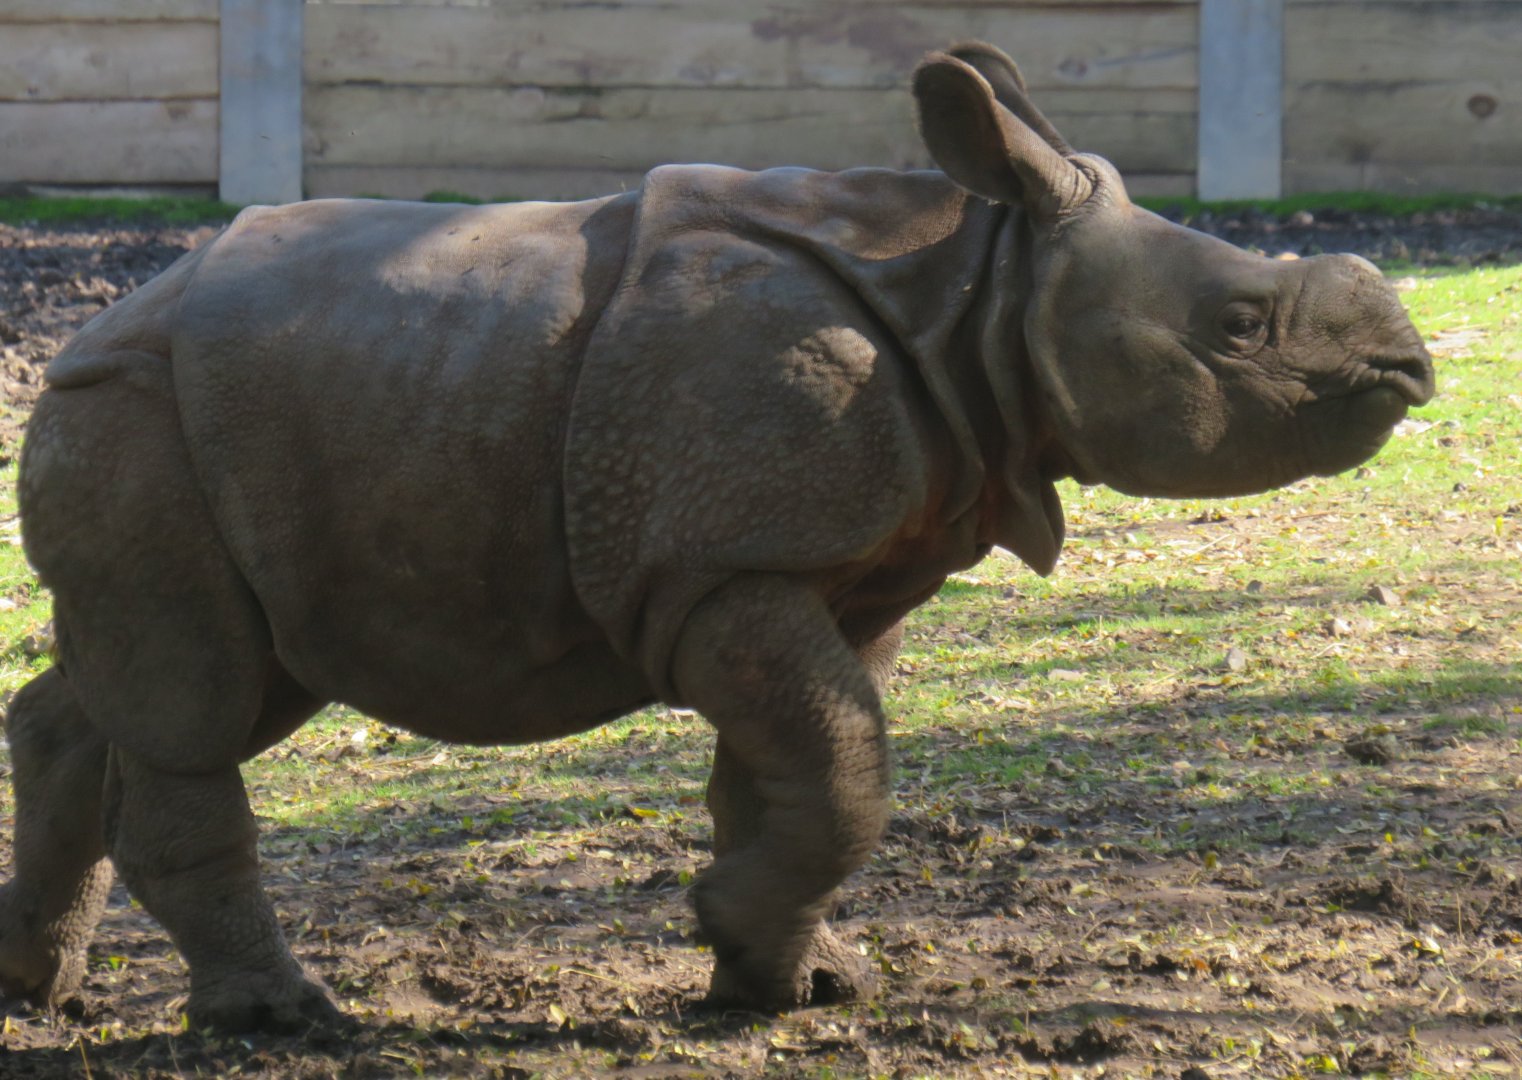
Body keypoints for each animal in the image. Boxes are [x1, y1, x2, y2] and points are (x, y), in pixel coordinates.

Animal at [0, 43, 1433, 1032]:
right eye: (1239, 328)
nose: (1411, 366)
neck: (986, 292)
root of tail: (84, 327)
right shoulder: (717, 564)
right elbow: (843, 764)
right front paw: (743, 941)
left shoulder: (821, 567)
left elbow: (800, 767)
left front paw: (788, 979)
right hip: (136, 409)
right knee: (195, 699)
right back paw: (284, 1022)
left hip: (246, 429)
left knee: (191, 679)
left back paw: (39, 993)